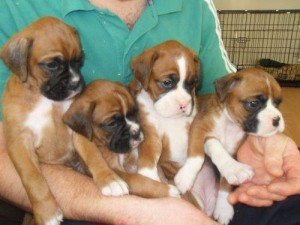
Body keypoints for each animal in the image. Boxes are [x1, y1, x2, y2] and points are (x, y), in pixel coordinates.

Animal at [0, 16, 84, 224]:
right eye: (52, 65)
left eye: (79, 60)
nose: (76, 83)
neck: (41, 96)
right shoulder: (20, 143)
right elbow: (33, 178)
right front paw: (47, 212)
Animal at [175, 67, 284, 224]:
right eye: (253, 103)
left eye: (277, 104)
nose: (276, 119)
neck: (229, 123)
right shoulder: (198, 128)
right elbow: (196, 155)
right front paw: (186, 176)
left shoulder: (232, 152)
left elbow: (226, 180)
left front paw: (224, 208)